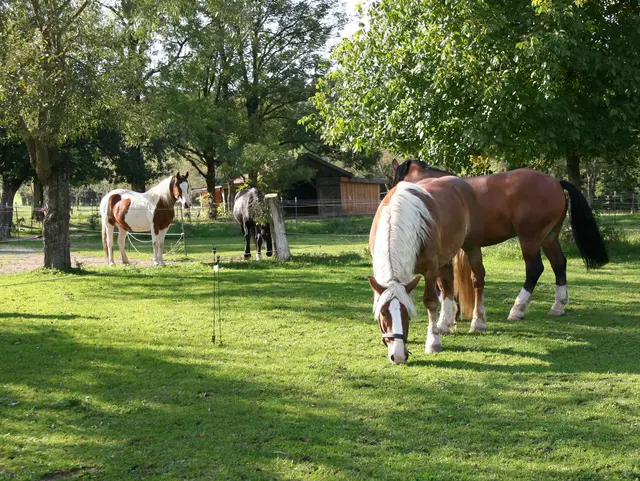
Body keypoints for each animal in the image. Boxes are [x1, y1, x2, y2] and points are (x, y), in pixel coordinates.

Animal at [370, 177, 484, 364]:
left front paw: (433, 342)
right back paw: (444, 324)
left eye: (407, 314)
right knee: (447, 286)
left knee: (477, 279)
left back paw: (478, 323)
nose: (398, 356)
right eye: (383, 313)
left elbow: (430, 302)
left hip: (471, 245)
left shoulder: (430, 269)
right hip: (444, 259)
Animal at [392, 159, 608, 320]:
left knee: (534, 269)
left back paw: (517, 309)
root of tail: (555, 181)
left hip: (529, 238)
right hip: (549, 238)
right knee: (559, 264)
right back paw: (557, 306)